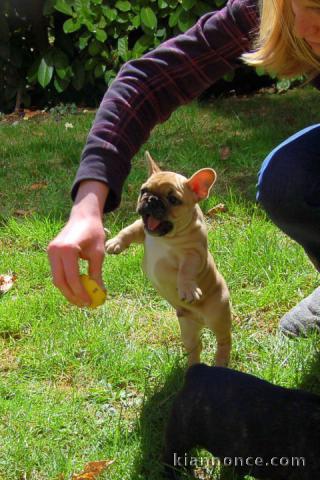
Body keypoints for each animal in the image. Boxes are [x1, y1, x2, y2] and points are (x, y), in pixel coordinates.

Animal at [106, 154, 231, 368]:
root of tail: (201, 321)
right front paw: (115, 243)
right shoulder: (141, 228)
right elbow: (128, 230)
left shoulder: (194, 253)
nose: (151, 200)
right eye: (144, 190)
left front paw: (187, 288)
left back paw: (221, 361)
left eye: (173, 199)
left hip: (218, 314)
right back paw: (192, 366)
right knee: (195, 346)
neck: (164, 238)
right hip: (187, 327)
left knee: (224, 340)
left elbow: (186, 270)